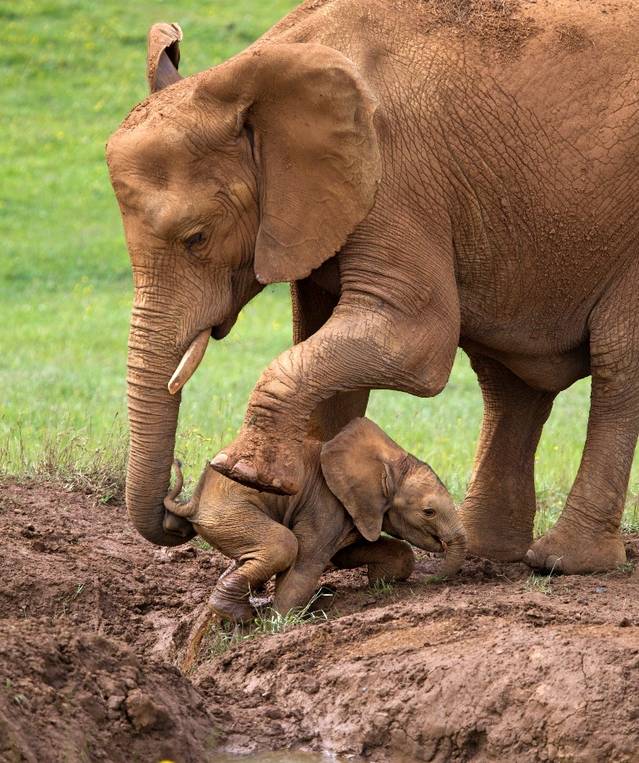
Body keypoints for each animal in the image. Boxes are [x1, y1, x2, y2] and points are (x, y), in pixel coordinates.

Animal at [107, 0, 639, 575]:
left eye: (197, 237)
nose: (176, 510)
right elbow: (323, 345)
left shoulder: (398, 175)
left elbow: (413, 341)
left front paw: (243, 472)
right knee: (507, 381)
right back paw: (490, 550)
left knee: (616, 362)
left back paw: (565, 562)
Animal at [163, 418, 466, 620]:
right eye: (429, 511)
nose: (431, 580)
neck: (388, 464)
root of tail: (194, 502)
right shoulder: (325, 503)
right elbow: (307, 562)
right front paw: (279, 622)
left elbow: (349, 553)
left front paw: (380, 580)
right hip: (229, 511)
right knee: (283, 545)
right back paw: (239, 615)